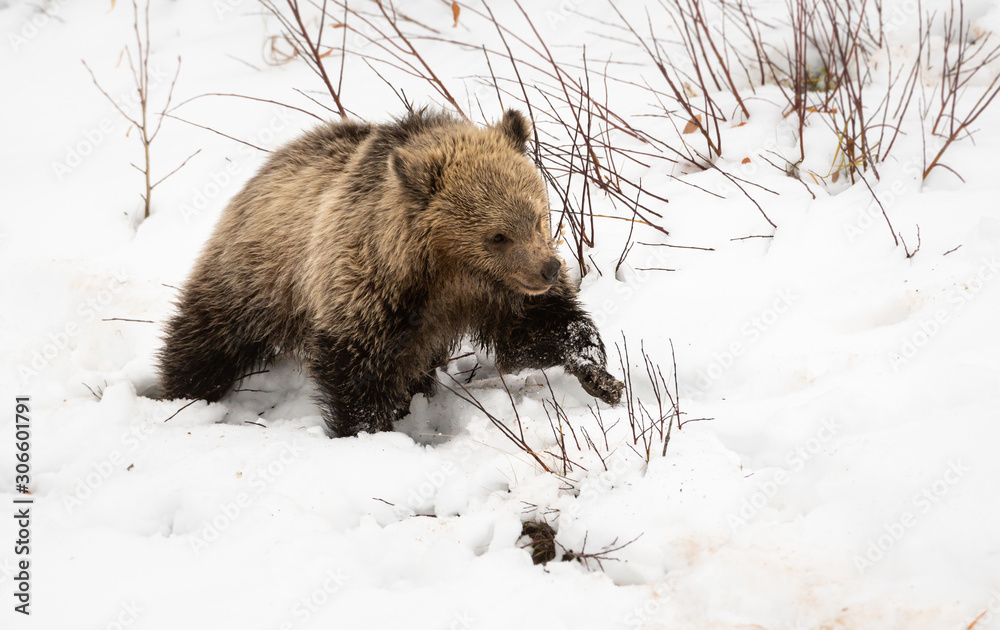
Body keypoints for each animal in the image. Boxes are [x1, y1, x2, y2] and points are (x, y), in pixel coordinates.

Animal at [157, 108, 624, 437]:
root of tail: (271, 161)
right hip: (259, 275)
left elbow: (539, 331)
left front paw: (599, 374)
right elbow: (359, 369)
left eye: (539, 216)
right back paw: (182, 393)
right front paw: (369, 430)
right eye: (497, 235)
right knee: (209, 336)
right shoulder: (372, 290)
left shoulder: (498, 294)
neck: (448, 269)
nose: (549, 269)